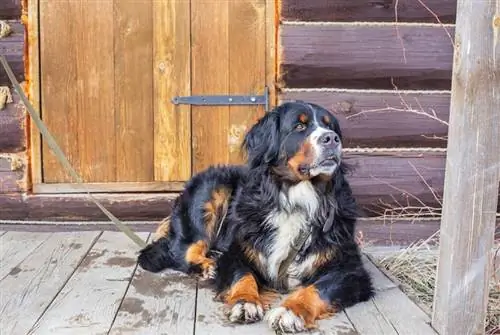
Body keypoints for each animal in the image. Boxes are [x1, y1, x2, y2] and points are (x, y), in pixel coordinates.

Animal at [137, 100, 372, 334]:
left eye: (329, 126)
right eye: (299, 126)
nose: (331, 138)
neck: (297, 200)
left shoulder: (349, 268)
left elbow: (317, 288)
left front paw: (290, 311)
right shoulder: (238, 251)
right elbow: (243, 275)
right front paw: (244, 301)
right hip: (211, 189)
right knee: (182, 250)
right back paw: (208, 266)